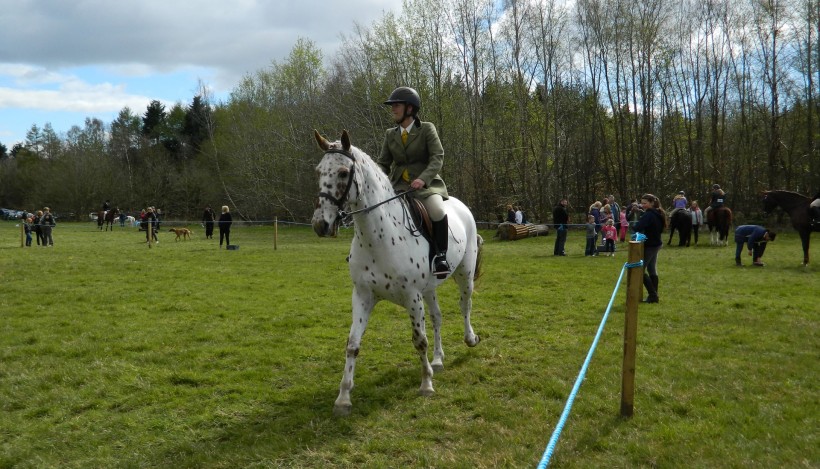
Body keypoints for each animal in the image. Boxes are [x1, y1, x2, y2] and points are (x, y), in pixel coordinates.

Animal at [310, 129, 484, 416]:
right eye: (318, 171)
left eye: (344, 173)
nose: (320, 225)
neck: (378, 238)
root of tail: (461, 205)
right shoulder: (363, 296)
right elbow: (352, 344)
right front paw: (343, 398)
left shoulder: (412, 297)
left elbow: (419, 340)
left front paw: (426, 385)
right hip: (429, 289)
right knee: (437, 317)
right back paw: (438, 360)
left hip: (464, 274)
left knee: (465, 304)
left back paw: (470, 339)